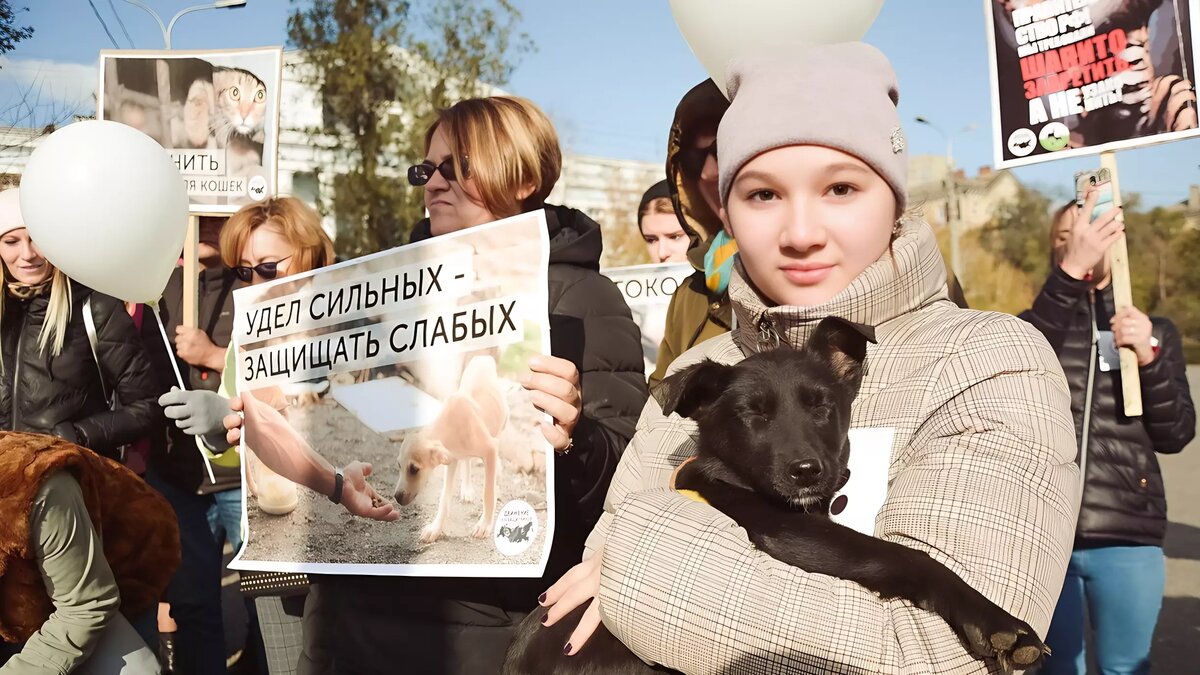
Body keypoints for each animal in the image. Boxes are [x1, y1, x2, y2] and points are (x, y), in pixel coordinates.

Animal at [393, 353, 506, 540]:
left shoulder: (489, 449)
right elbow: (444, 499)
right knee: (467, 461)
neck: (451, 424)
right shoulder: (451, 459)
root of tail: (482, 356)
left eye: (414, 469)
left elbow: (488, 493)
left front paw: (484, 525)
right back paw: (467, 488)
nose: (396, 497)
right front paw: (435, 528)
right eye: (399, 466)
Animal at [501, 317, 1046, 672]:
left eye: (822, 406)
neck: (737, 479)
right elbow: (904, 555)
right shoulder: (786, 530)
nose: (808, 472)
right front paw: (993, 621)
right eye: (753, 415)